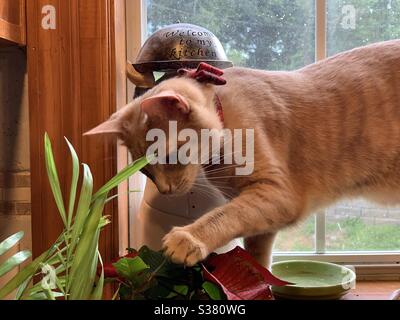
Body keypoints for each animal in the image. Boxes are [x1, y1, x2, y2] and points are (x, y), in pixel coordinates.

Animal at [84, 40, 400, 268]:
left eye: (169, 157)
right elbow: (257, 259)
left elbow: (224, 216)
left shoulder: (277, 193)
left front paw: (188, 238)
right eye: (145, 171)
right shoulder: (261, 219)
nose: (165, 190)